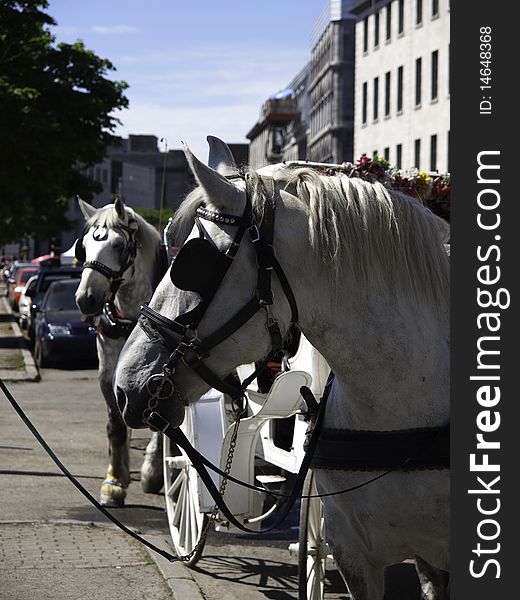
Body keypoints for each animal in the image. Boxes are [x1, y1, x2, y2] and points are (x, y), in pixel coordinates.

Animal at [73, 198, 165, 506]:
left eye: (117, 245)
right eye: (84, 245)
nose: (85, 299)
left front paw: (152, 472)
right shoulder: (108, 370)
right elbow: (116, 424)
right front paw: (114, 482)